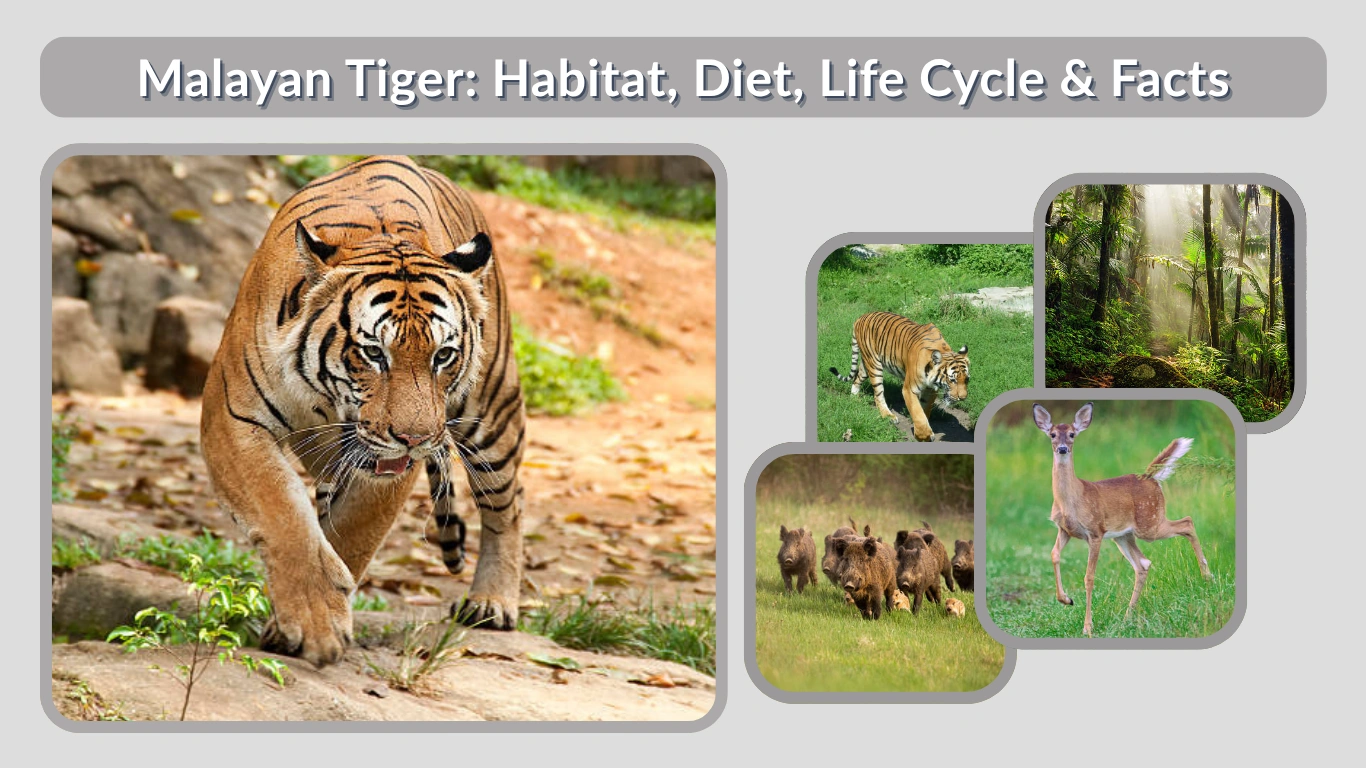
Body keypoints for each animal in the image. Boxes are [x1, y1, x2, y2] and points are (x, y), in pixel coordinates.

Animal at [201, 155, 525, 666]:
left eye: (443, 355)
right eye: (374, 353)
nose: (415, 438)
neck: (326, 402)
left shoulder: (391, 466)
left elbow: (356, 531)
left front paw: (318, 621)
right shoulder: (232, 417)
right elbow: (282, 514)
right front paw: (315, 623)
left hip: (492, 412)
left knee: (507, 505)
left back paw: (492, 603)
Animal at [828, 311, 969, 441]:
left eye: (967, 380)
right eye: (952, 380)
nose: (962, 398)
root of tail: (860, 318)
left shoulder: (931, 390)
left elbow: (925, 409)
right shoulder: (909, 389)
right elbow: (917, 412)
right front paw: (924, 435)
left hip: (866, 363)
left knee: (857, 378)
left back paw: (854, 399)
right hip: (875, 365)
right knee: (878, 394)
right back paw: (888, 416)